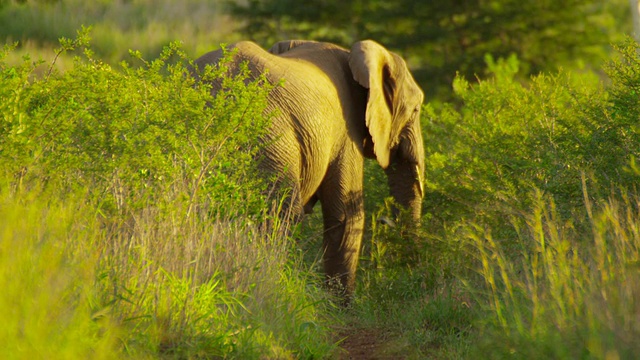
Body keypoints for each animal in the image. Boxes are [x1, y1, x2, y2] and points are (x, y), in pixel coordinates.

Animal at [195, 39, 424, 300]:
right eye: (416, 110)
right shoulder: (346, 132)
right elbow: (347, 214)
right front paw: (340, 305)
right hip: (269, 143)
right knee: (280, 217)